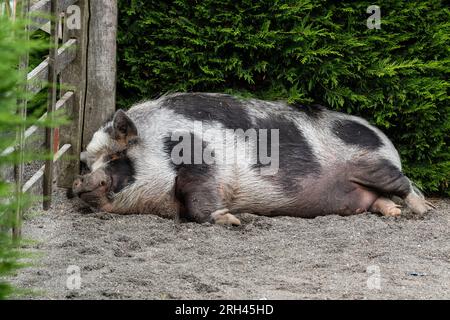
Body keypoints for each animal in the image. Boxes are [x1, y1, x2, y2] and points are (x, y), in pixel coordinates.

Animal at [72, 92, 434, 225]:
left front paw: (232, 220)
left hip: (374, 165)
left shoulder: (203, 165)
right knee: (378, 200)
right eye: (87, 163)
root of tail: (386, 141)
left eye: (117, 154)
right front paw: (235, 218)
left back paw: (421, 210)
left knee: (405, 184)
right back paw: (394, 213)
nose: (81, 181)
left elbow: (198, 201)